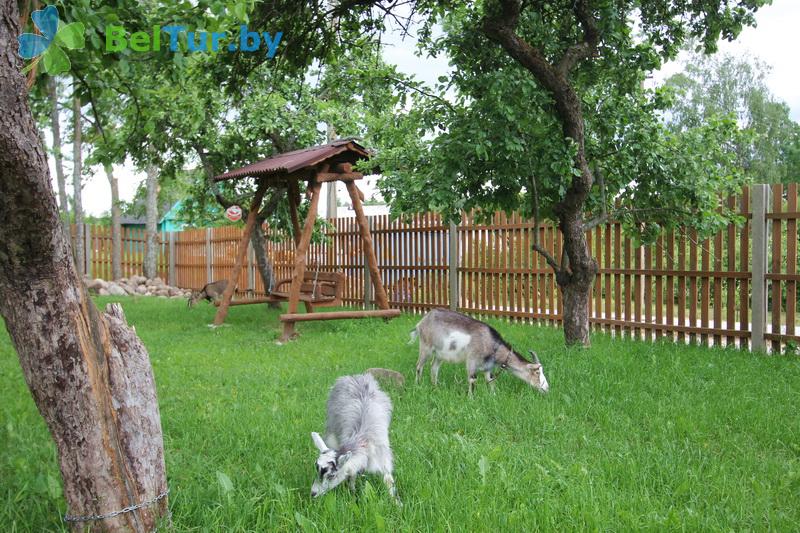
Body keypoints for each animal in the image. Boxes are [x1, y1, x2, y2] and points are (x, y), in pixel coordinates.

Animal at [312, 372, 400, 500]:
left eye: (332, 475)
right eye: (316, 470)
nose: (312, 493)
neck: (363, 440)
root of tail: (355, 376)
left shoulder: (383, 458)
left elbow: (389, 481)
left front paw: (397, 502)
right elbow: (352, 474)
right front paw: (353, 494)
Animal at [410, 308, 548, 394]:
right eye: (537, 372)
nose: (546, 388)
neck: (492, 344)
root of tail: (422, 321)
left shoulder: (488, 367)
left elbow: (490, 380)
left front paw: (493, 396)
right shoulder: (472, 360)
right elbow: (473, 380)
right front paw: (471, 399)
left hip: (440, 353)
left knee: (434, 367)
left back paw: (435, 387)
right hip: (426, 346)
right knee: (419, 366)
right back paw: (418, 385)